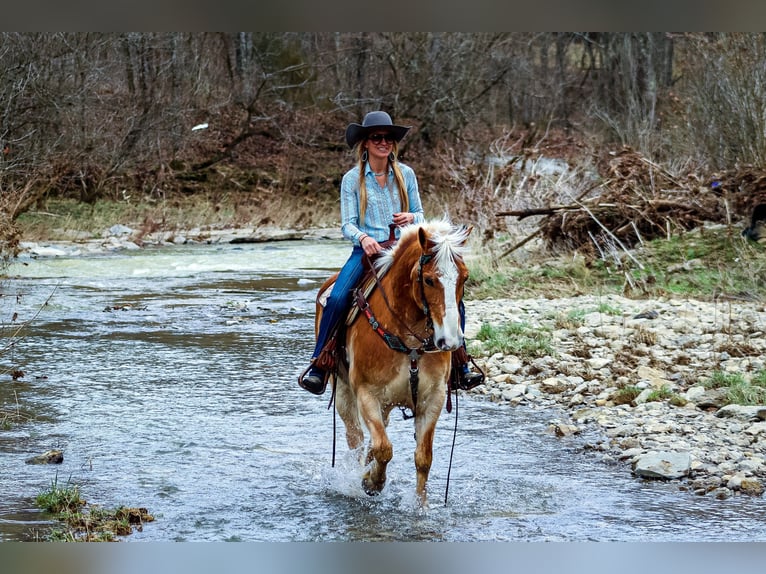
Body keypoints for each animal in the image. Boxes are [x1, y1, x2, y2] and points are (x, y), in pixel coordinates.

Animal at [314, 218, 472, 506]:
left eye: (464, 277)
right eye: (429, 280)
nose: (450, 341)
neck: (409, 342)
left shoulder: (433, 398)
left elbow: (423, 457)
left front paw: (420, 506)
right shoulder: (366, 394)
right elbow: (383, 448)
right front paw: (371, 483)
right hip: (342, 392)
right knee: (356, 439)